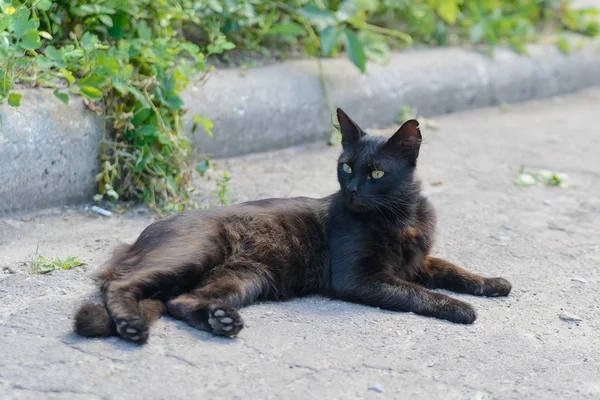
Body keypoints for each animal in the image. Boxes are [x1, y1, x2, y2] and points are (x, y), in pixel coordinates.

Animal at [74, 108, 510, 342]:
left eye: (376, 173)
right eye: (346, 167)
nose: (353, 189)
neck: (399, 216)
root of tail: (138, 238)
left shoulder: (419, 261)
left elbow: (452, 268)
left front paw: (491, 283)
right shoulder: (361, 279)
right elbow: (416, 293)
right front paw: (459, 307)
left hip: (247, 277)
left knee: (179, 301)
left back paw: (222, 321)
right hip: (194, 256)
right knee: (121, 287)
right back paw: (132, 326)